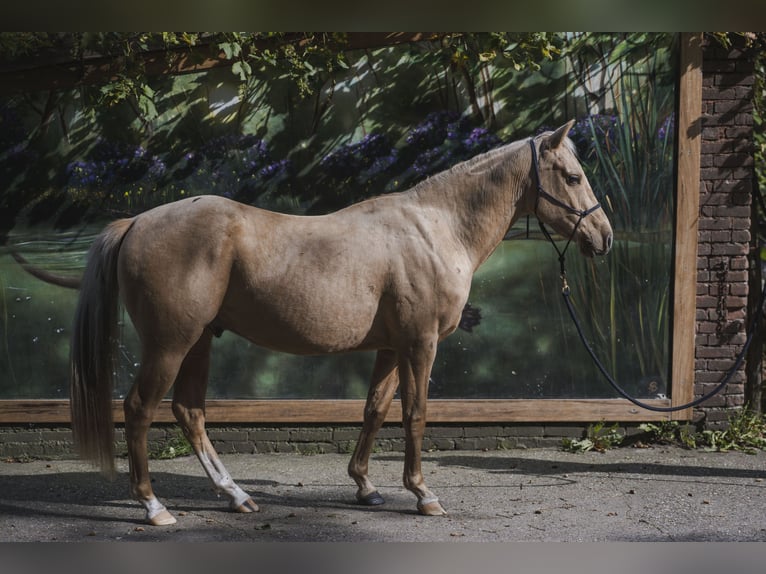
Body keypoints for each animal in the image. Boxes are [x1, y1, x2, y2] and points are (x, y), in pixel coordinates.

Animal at [69, 120, 613, 526]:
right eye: (570, 176)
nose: (603, 236)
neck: (435, 229)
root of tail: (137, 222)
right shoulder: (421, 345)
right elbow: (415, 416)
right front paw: (423, 495)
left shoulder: (392, 347)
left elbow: (375, 410)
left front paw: (366, 487)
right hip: (170, 343)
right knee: (139, 409)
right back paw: (154, 506)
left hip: (199, 340)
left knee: (189, 411)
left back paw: (236, 495)